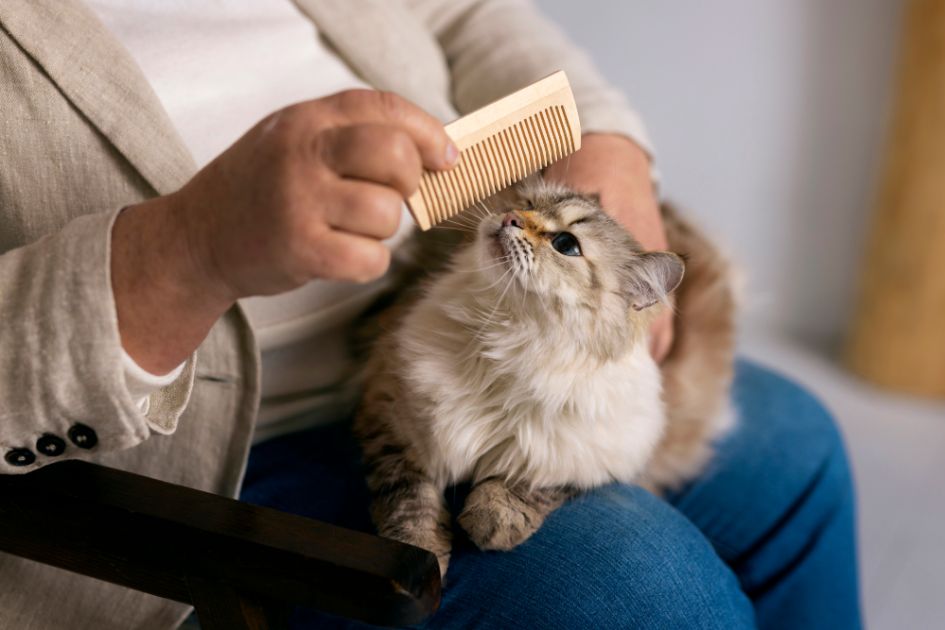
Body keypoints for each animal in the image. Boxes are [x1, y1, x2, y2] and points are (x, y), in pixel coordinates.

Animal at [350, 179, 732, 576]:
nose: (510, 217)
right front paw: (419, 561)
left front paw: (493, 521)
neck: (506, 342)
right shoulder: (391, 411)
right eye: (527, 203)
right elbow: (410, 502)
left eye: (566, 244)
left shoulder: (600, 454)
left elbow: (534, 483)